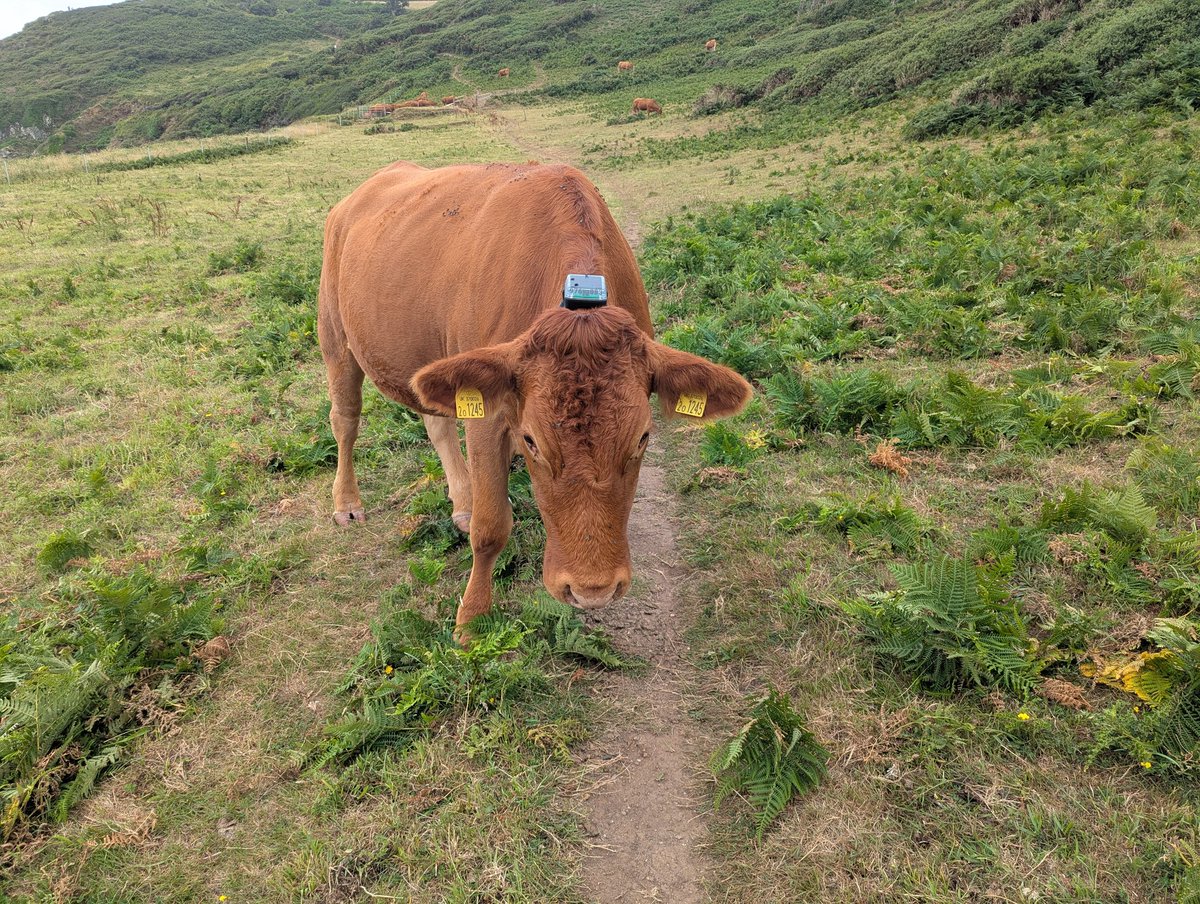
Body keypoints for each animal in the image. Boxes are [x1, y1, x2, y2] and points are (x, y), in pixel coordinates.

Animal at [318, 162, 751, 633]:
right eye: (532, 441)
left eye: (643, 438)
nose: (592, 590)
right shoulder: (488, 414)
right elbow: (491, 527)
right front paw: (471, 619)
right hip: (335, 335)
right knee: (345, 419)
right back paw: (347, 503)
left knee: (436, 421)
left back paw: (462, 501)